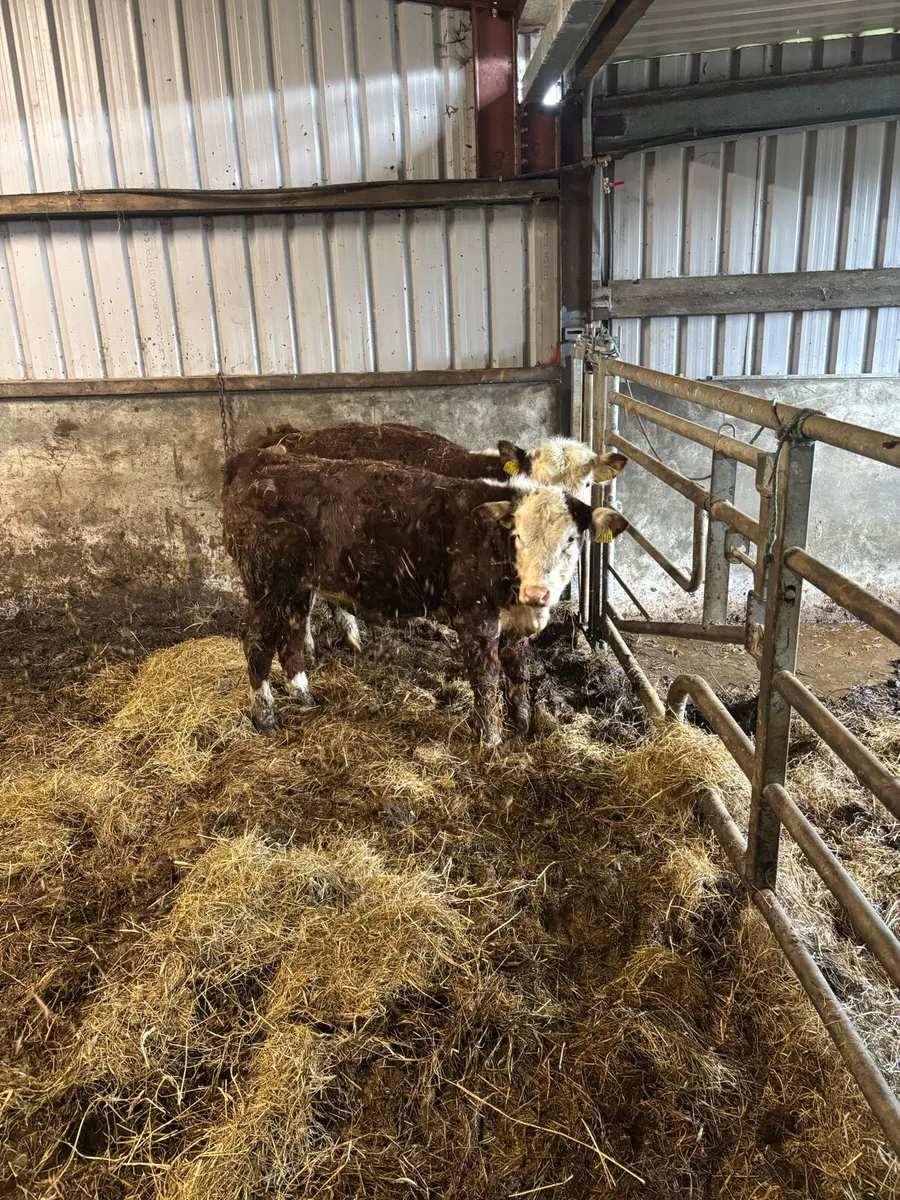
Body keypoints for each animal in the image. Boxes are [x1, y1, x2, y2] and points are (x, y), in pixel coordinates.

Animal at [222, 448, 629, 744]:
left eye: (572, 539)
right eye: (517, 535)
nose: (537, 592)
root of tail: (260, 458)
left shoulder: (514, 623)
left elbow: (518, 674)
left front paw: (523, 728)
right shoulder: (476, 617)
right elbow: (486, 678)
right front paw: (491, 741)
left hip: (296, 587)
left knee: (291, 638)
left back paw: (305, 699)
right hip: (265, 584)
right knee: (257, 643)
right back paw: (266, 718)